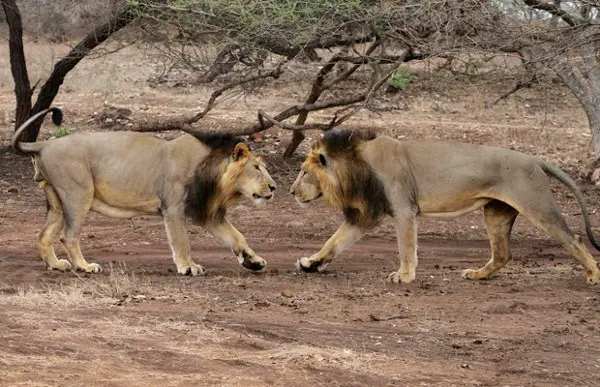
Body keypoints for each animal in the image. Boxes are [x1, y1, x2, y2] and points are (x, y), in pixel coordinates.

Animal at [13, 107, 276, 274]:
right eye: (256, 168)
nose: (274, 187)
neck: (215, 176)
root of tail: (44, 144)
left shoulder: (208, 213)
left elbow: (237, 236)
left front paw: (253, 261)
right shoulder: (173, 208)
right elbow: (181, 241)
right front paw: (188, 267)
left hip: (57, 200)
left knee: (44, 236)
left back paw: (57, 265)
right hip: (78, 195)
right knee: (68, 236)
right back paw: (84, 266)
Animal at [290, 130, 600, 284]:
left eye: (304, 172)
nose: (291, 191)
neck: (356, 164)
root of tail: (534, 159)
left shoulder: (404, 209)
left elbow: (406, 247)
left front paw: (404, 276)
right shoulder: (366, 214)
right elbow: (334, 241)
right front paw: (311, 263)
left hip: (537, 206)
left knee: (574, 239)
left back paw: (594, 275)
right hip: (496, 213)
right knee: (503, 254)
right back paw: (477, 275)